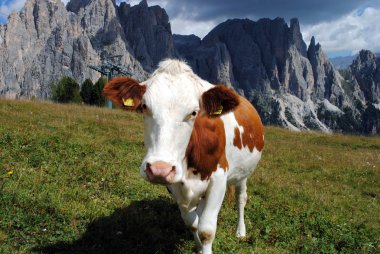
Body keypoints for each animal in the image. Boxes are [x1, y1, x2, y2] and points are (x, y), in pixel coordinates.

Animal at [104, 59, 264, 254]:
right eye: (144, 106)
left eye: (194, 112)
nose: (159, 169)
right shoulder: (174, 183)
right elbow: (192, 223)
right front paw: (198, 247)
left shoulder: (218, 179)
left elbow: (206, 230)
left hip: (243, 173)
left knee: (241, 198)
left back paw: (240, 231)